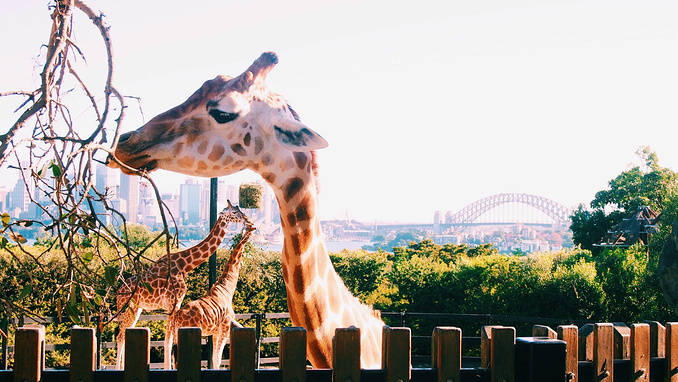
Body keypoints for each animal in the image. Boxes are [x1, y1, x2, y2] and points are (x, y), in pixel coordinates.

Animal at [115, 201, 248, 368]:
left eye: (239, 209)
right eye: (234, 212)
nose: (245, 218)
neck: (184, 266)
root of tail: (118, 292)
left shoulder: (175, 304)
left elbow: (170, 339)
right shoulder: (174, 303)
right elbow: (168, 340)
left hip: (137, 308)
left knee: (125, 333)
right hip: (129, 307)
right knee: (120, 336)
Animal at [167, 221, 258, 370]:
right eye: (251, 227)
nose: (252, 228)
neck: (227, 288)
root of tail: (176, 318)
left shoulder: (215, 332)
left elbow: (215, 358)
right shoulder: (225, 327)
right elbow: (217, 358)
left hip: (176, 335)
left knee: (174, 357)